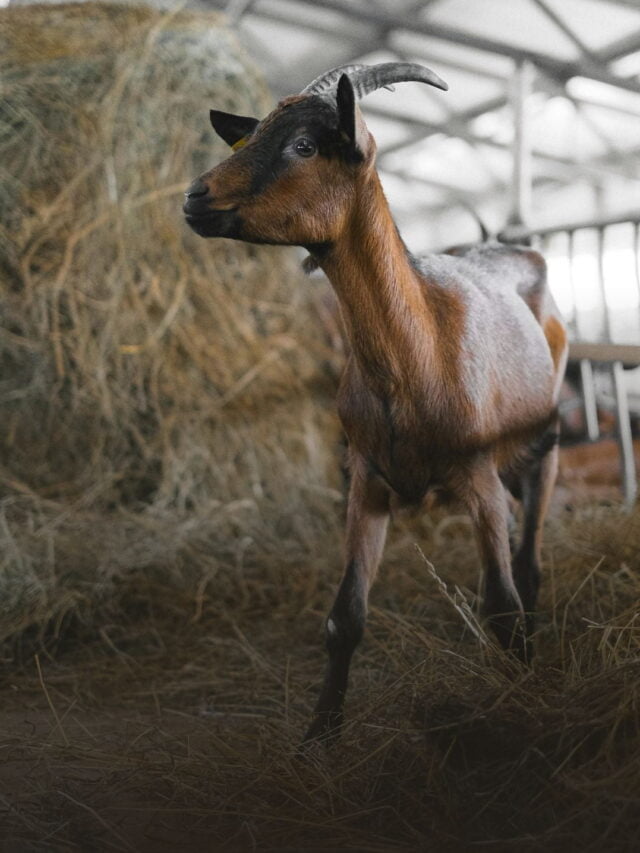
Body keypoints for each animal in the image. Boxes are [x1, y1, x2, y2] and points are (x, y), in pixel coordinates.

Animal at [182, 63, 568, 744]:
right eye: (250, 135)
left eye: (305, 145)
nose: (195, 197)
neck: (419, 350)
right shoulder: (365, 480)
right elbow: (345, 617)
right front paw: (319, 736)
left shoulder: (478, 479)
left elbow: (501, 605)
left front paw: (520, 700)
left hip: (542, 447)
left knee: (528, 565)